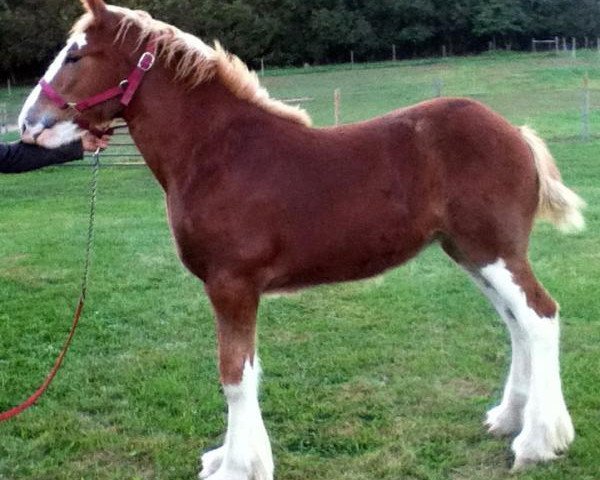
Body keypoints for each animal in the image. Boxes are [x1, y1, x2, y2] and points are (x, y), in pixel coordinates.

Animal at [19, 0, 584, 476]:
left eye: (75, 54)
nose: (29, 126)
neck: (216, 153)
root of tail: (516, 134)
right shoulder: (234, 289)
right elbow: (242, 371)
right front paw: (230, 456)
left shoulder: (231, 284)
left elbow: (234, 374)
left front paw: (238, 466)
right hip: (470, 253)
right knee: (516, 323)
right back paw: (508, 419)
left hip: (494, 252)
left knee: (539, 316)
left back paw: (538, 442)